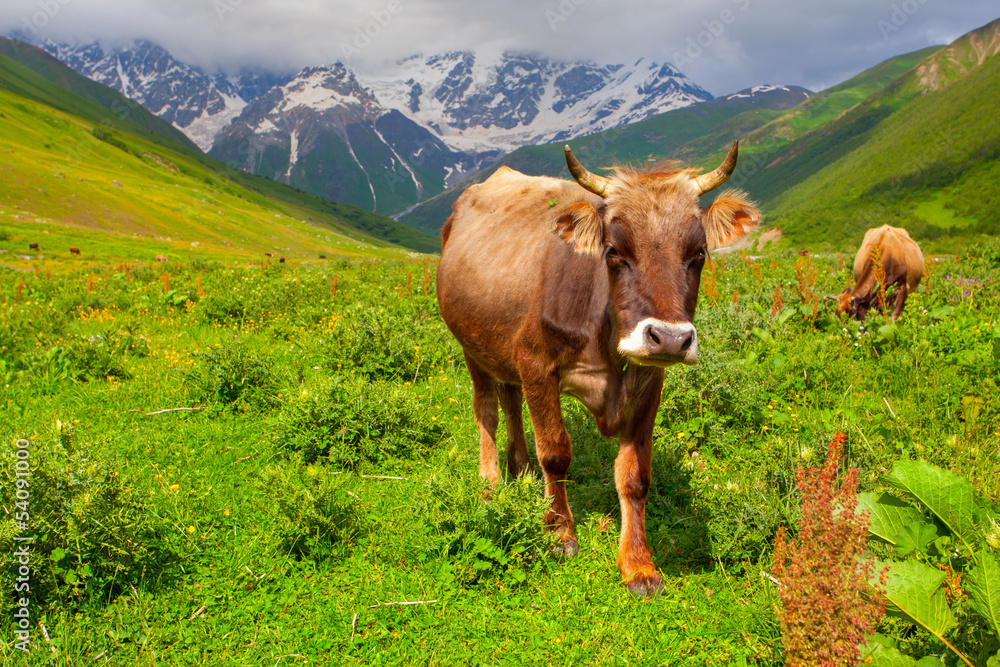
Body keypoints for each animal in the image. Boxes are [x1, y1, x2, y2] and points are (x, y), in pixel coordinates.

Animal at [436, 143, 760, 595]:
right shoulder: (536, 362)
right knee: (487, 409)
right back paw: (490, 484)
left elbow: (634, 475)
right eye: (613, 252)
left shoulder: (648, 379)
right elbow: (555, 452)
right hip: (472, 346)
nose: (670, 338)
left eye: (698, 253)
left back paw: (521, 470)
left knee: (511, 399)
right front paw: (559, 533)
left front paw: (638, 564)